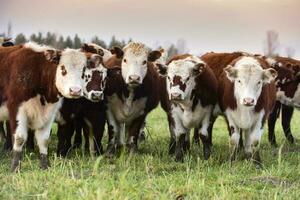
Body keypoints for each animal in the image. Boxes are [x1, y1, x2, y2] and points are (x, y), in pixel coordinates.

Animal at [0, 42, 100, 170]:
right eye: (63, 68)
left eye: (83, 70)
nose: (75, 90)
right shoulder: (16, 109)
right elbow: (19, 138)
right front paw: (15, 167)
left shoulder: (49, 112)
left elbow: (44, 140)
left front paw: (44, 166)